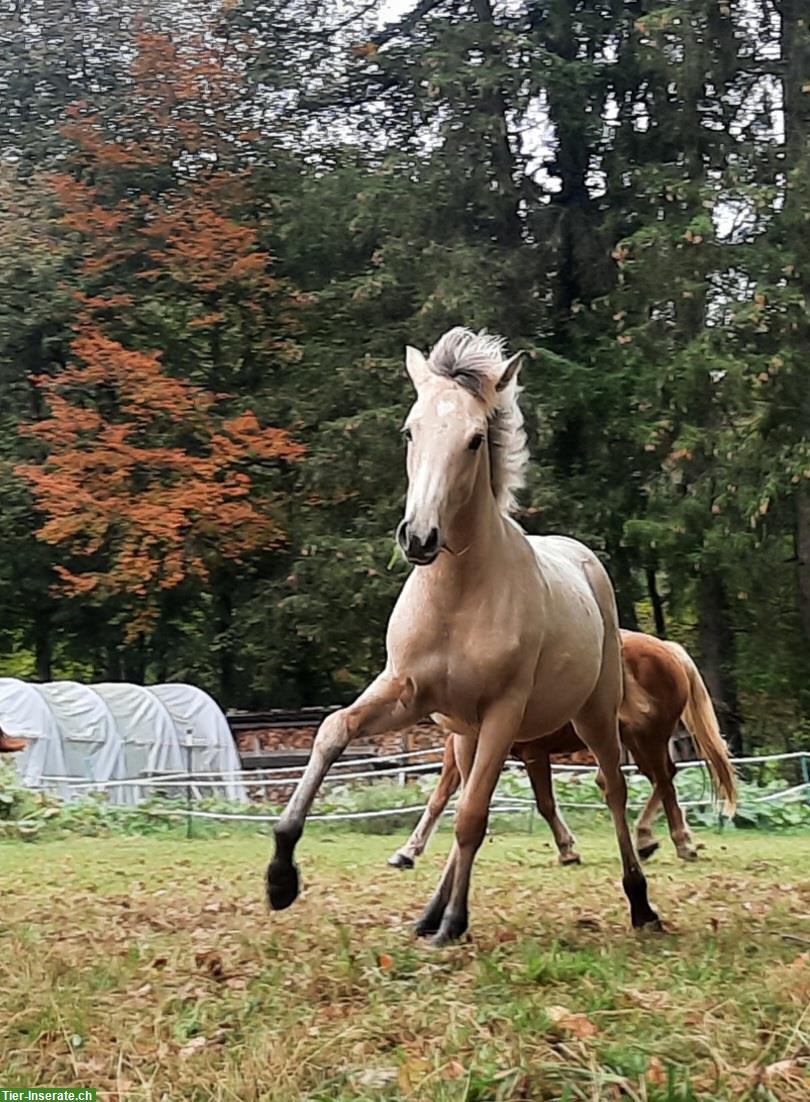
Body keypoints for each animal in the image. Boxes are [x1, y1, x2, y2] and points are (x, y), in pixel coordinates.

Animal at [268, 326, 661, 947]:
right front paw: (281, 876)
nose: (419, 538)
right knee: (459, 795)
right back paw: (431, 910)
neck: (456, 597)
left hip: (591, 716)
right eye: (410, 430)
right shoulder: (407, 693)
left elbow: (475, 816)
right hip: (463, 734)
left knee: (611, 790)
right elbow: (334, 732)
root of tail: (582, 560)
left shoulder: (504, 711)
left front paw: (455, 921)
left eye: (476, 439)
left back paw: (639, 902)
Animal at [390, 630, 736, 868]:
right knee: (661, 779)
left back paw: (673, 841)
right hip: (637, 742)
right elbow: (438, 798)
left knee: (664, 779)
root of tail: (667, 650)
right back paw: (653, 839)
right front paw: (407, 852)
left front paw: (568, 850)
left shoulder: (532, 754)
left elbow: (544, 803)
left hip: (649, 737)